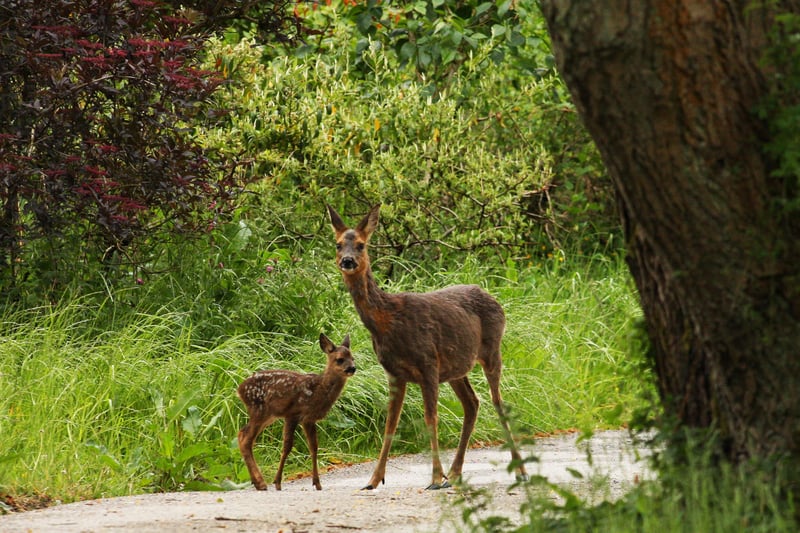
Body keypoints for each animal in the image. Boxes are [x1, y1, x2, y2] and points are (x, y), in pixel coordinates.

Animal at [237, 333, 356, 491]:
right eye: (340, 359)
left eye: (353, 358)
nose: (352, 368)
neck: (317, 390)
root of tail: (239, 390)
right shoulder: (292, 414)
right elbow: (287, 446)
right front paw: (278, 482)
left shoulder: (308, 419)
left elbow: (314, 447)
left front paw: (317, 483)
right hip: (259, 410)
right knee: (246, 439)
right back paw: (261, 483)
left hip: (268, 416)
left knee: (242, 434)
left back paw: (257, 482)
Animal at [327, 203, 528, 490]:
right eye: (338, 244)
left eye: (362, 245)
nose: (347, 261)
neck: (388, 321)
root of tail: (495, 299)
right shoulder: (394, 372)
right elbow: (390, 424)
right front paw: (374, 479)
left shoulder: (428, 363)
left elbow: (430, 418)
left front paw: (434, 477)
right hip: (457, 368)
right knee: (472, 403)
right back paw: (454, 474)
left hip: (492, 351)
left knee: (498, 404)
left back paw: (519, 471)